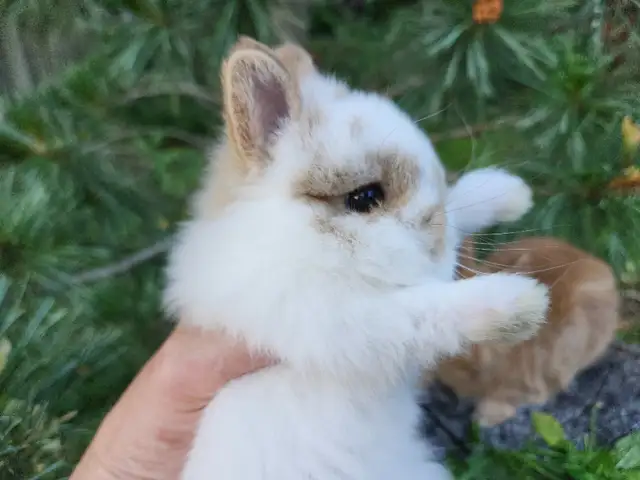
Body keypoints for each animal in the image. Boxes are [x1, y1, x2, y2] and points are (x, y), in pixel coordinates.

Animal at [163, 36, 549, 480]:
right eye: (365, 198)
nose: (439, 245)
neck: (293, 244)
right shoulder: (340, 323)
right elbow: (423, 311)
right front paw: (524, 302)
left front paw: (509, 192)